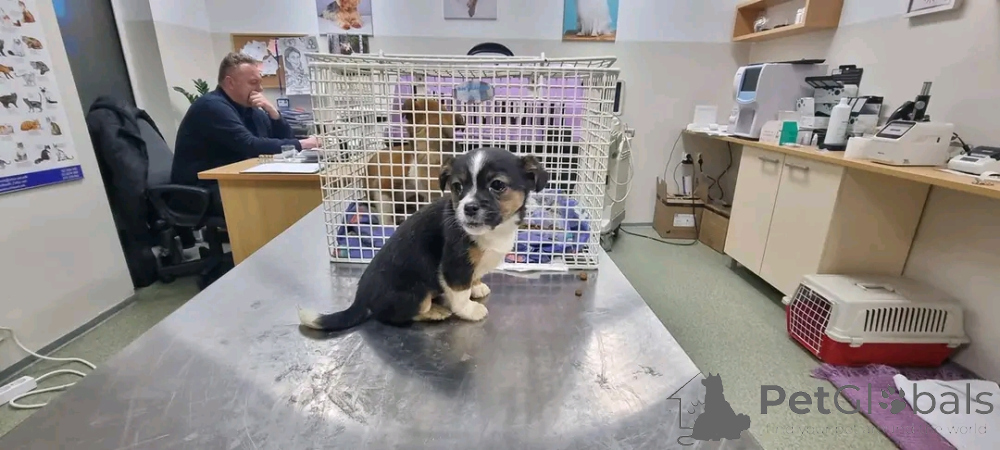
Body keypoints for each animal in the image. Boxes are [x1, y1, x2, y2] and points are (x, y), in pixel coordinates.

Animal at [299, 147, 549, 332]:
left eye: (497, 185)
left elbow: (473, 278)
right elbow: (460, 292)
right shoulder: (454, 265)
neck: (492, 231)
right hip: (417, 292)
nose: (468, 208)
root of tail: (361, 299)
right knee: (399, 314)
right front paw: (469, 310)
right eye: (457, 186)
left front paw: (477, 287)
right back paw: (435, 312)